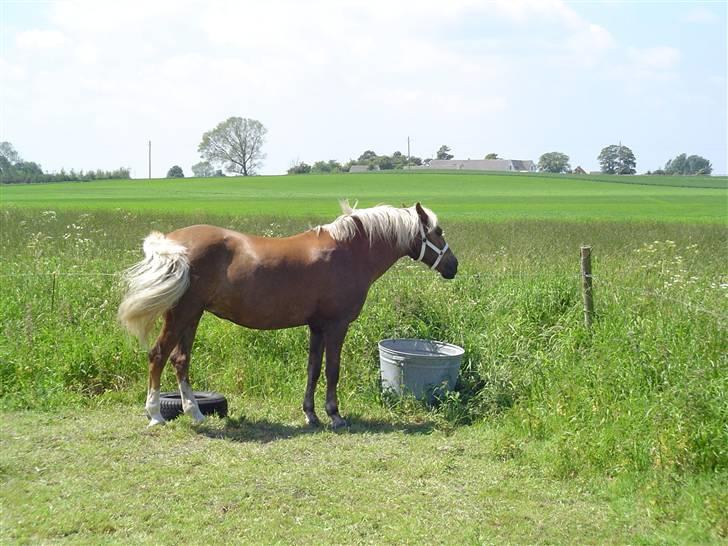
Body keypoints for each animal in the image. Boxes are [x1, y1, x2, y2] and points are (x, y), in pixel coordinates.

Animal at [119, 200, 460, 424]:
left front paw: (311, 414)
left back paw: (195, 412)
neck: (349, 251)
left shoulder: (317, 326)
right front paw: (335, 415)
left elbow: (313, 369)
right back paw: (155, 414)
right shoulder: (336, 325)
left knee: (180, 360)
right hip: (180, 314)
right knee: (158, 355)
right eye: (439, 231)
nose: (453, 266)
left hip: (192, 315)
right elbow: (332, 370)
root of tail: (172, 243)